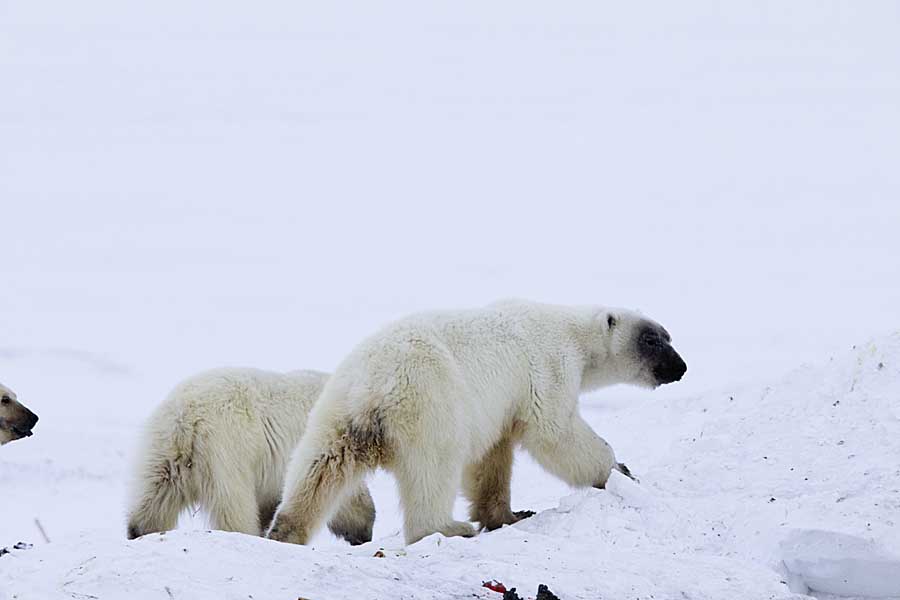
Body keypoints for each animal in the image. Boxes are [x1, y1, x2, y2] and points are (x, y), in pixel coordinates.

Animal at [127, 368, 376, 548]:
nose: (365, 537)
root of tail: (186, 419)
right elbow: (343, 493)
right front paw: (362, 530)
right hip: (228, 450)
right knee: (235, 506)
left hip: (163, 452)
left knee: (153, 499)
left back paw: (139, 531)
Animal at [268, 300, 688, 544]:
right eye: (653, 339)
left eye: (668, 335)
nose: (681, 367)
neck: (574, 333)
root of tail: (371, 387)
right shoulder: (548, 366)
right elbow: (555, 430)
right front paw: (620, 470)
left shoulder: (500, 405)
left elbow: (493, 457)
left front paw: (509, 515)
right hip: (431, 401)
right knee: (434, 468)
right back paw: (446, 528)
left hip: (334, 413)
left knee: (319, 466)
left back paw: (286, 528)